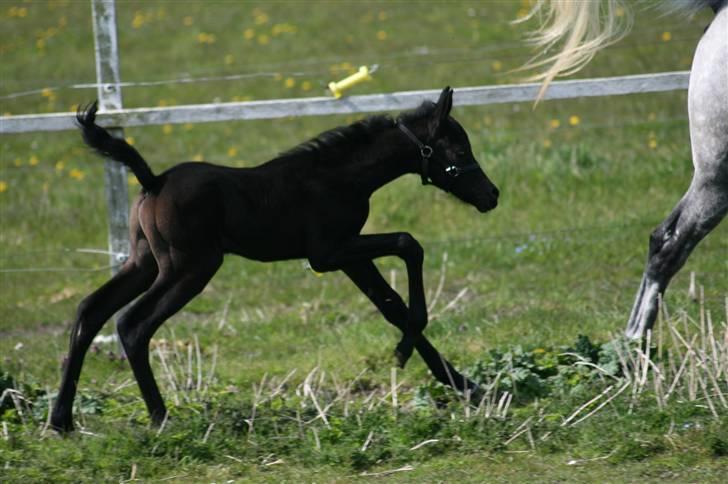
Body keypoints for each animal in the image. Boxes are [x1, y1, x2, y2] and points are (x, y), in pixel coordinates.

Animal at [52, 87, 500, 432]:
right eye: (460, 150)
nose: (492, 195)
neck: (340, 176)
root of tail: (153, 181)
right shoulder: (328, 253)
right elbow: (409, 245)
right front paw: (407, 353)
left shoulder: (348, 254)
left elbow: (391, 304)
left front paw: (462, 383)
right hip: (188, 268)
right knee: (132, 323)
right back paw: (160, 417)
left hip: (144, 263)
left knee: (91, 309)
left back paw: (62, 421)